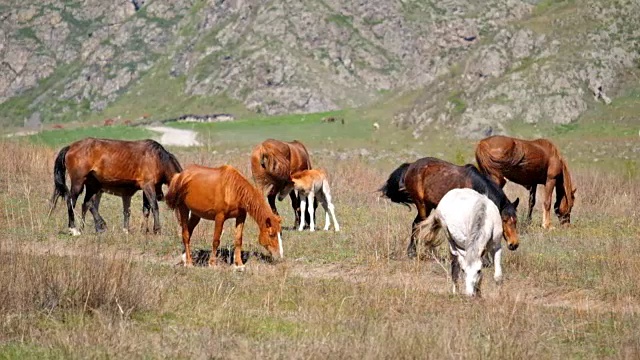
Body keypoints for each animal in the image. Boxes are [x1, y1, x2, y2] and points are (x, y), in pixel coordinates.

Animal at [48, 138, 180, 236]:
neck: (157, 158)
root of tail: (70, 147)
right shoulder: (148, 186)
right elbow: (154, 206)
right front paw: (157, 230)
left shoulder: (146, 188)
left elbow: (146, 209)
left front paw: (144, 230)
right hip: (78, 183)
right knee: (71, 201)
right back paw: (74, 229)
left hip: (92, 185)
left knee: (87, 203)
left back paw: (95, 226)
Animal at [380, 158, 520, 258]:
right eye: (504, 220)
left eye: (516, 221)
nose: (514, 244)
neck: (474, 186)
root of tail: (410, 166)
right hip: (422, 206)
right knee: (417, 225)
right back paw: (412, 252)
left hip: (428, 206)